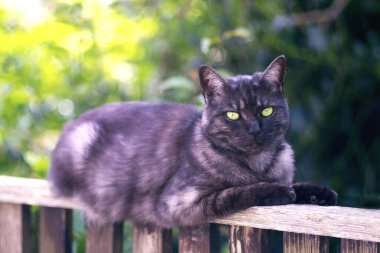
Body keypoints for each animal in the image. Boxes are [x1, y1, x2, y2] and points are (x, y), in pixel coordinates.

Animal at [49, 55, 336, 227]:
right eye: (233, 114)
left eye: (266, 111)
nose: (255, 130)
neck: (258, 165)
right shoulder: (177, 202)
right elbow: (235, 191)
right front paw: (276, 191)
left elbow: (294, 184)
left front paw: (319, 192)